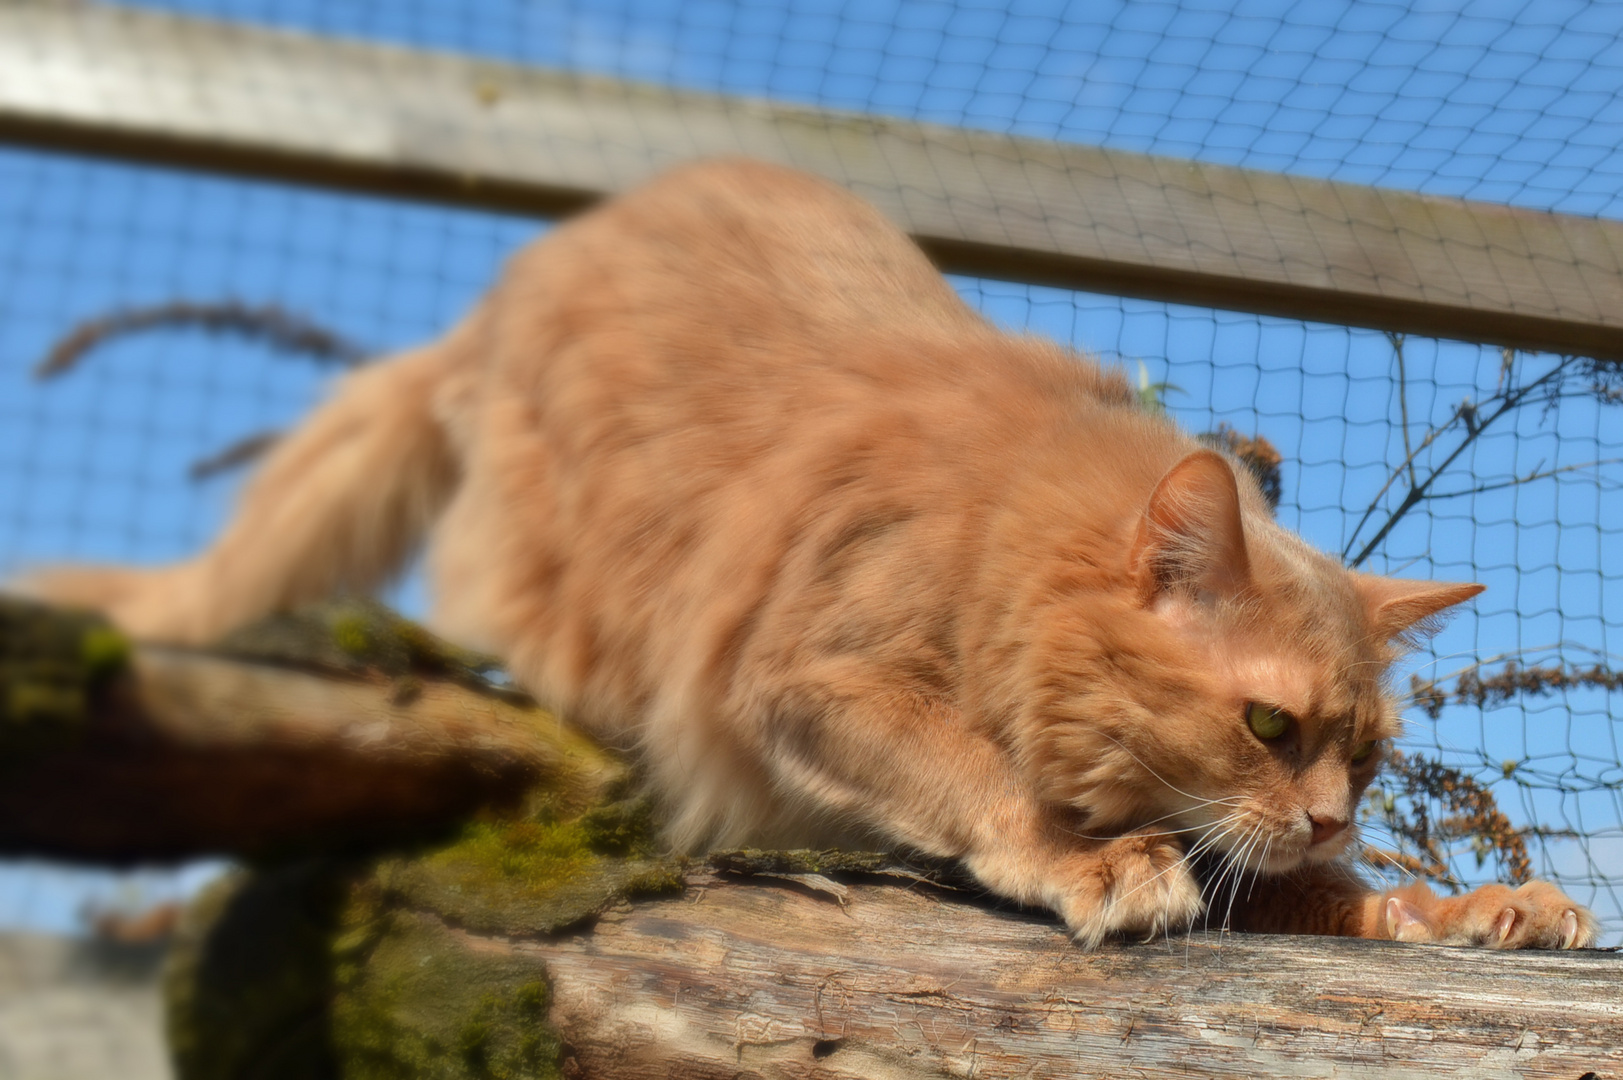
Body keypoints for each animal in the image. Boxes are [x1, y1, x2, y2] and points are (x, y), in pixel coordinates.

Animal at [25, 158, 1597, 941]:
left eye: (1369, 761)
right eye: (1267, 725)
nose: (1334, 815)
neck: (997, 536)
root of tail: (518, 278)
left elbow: (1316, 898)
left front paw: (1467, 904)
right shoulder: (795, 674)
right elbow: (977, 775)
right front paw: (1088, 859)